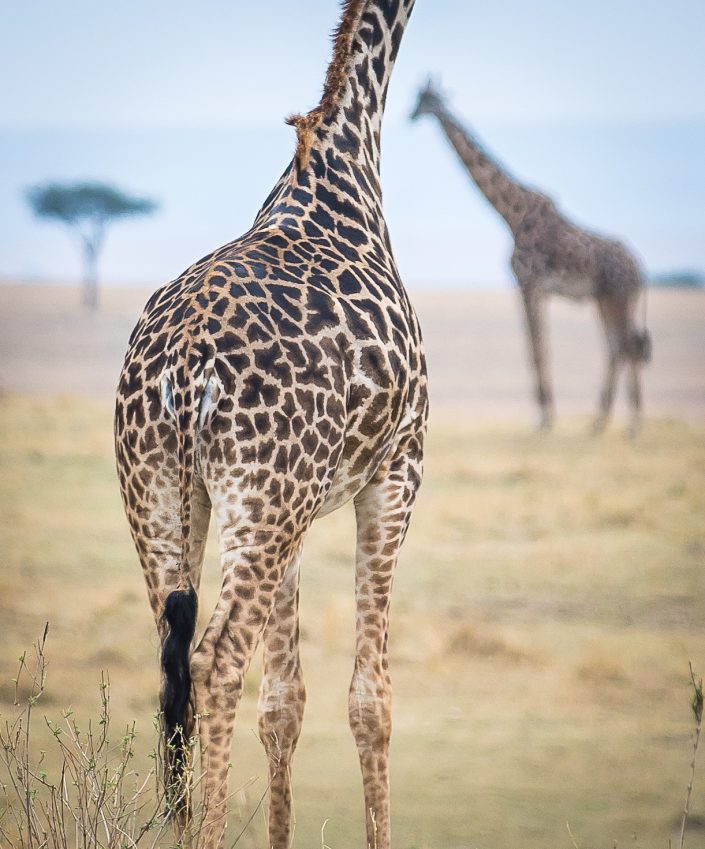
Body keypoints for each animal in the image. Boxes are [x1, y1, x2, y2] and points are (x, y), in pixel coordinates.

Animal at [115, 1, 424, 848]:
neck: (342, 166)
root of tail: (182, 367)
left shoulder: (299, 509)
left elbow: (284, 702)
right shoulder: (397, 469)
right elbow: (371, 701)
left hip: (166, 491)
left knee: (171, 659)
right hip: (260, 498)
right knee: (216, 660)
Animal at [410, 79, 652, 434]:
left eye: (426, 99)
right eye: (417, 98)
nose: (411, 115)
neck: (511, 213)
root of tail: (640, 269)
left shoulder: (529, 283)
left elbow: (537, 350)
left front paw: (543, 418)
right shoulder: (530, 287)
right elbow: (536, 348)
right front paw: (545, 415)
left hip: (618, 296)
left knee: (627, 346)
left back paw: (632, 423)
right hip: (606, 299)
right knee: (617, 347)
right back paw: (600, 420)